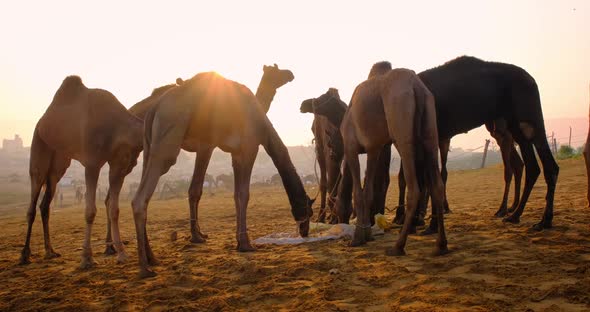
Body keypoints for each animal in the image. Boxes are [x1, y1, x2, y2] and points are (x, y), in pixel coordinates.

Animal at [19, 76, 180, 268]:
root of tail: (43, 121)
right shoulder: (92, 163)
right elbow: (90, 211)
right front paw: (87, 258)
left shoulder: (119, 164)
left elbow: (114, 209)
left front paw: (121, 253)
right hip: (39, 146)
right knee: (33, 199)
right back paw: (24, 255)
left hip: (58, 164)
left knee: (45, 204)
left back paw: (50, 251)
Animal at [132, 71, 316, 278]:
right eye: (309, 212)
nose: (304, 231)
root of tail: (155, 107)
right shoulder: (249, 147)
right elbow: (244, 194)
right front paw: (245, 244)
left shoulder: (235, 154)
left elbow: (236, 195)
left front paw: (237, 241)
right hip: (168, 139)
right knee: (140, 199)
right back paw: (145, 267)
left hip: (149, 146)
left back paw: (152, 258)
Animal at [312, 68, 446, 256]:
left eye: (322, 98)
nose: (306, 104)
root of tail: (416, 86)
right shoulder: (373, 149)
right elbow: (368, 191)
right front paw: (367, 234)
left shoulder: (351, 147)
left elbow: (357, 193)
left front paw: (357, 238)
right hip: (430, 128)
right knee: (437, 185)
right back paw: (441, 245)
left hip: (400, 124)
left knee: (414, 188)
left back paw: (398, 246)